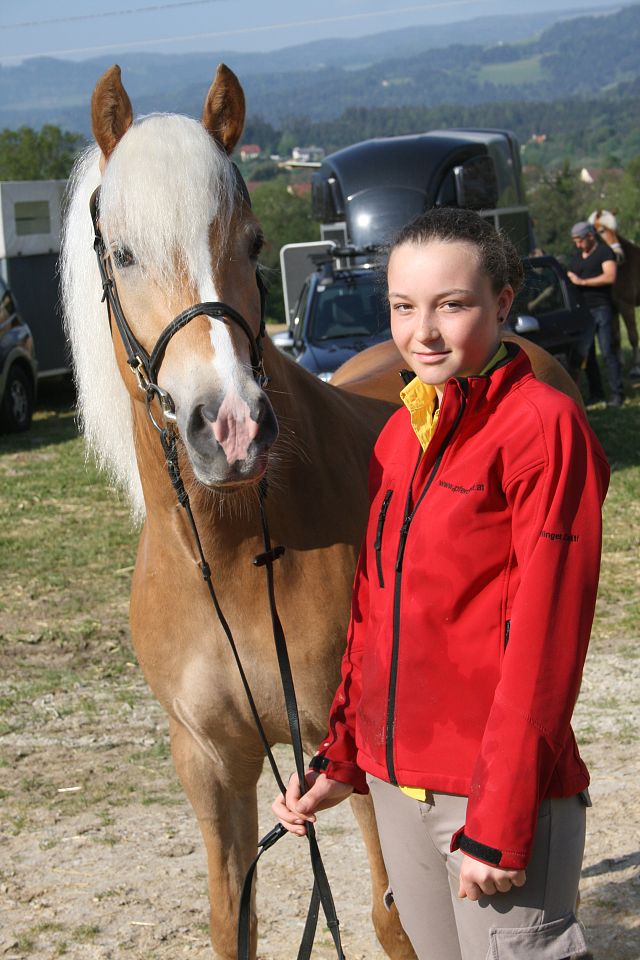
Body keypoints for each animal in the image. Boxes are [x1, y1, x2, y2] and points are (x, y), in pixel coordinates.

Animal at [62, 62, 584, 960]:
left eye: (252, 242)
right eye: (123, 254)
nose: (231, 426)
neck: (235, 556)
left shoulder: (357, 764)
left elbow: (391, 917)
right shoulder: (212, 766)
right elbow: (231, 920)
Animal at [592, 209, 640, 378]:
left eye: (617, 230)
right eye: (601, 230)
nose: (619, 255)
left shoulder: (626, 305)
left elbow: (632, 335)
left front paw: (636, 367)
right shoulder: (613, 308)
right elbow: (617, 338)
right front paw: (620, 364)